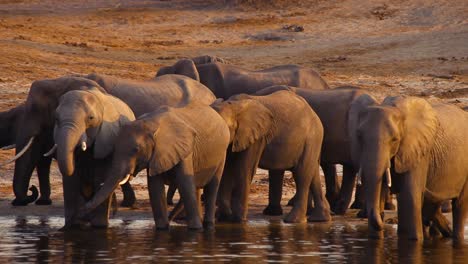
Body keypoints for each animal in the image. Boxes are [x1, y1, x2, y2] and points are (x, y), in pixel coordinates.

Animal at [78, 102, 230, 229]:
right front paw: (163, 228)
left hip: (222, 153)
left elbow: (185, 185)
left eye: (136, 150)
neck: (152, 124)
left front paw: (195, 230)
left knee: (211, 187)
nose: (113, 213)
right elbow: (155, 189)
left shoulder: (183, 149)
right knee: (197, 187)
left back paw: (208, 225)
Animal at [212, 90, 330, 223]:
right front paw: (224, 218)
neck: (233, 105)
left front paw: (239, 221)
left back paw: (293, 220)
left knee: (302, 173)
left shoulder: (257, 137)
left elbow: (244, 169)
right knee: (313, 173)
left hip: (311, 138)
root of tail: (314, 113)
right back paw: (320, 219)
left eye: (226, 127)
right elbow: (227, 168)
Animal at [356, 96, 468, 240]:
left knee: (459, 205)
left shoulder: (419, 153)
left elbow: (409, 196)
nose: (383, 219)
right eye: (359, 137)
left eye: (395, 139)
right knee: (431, 206)